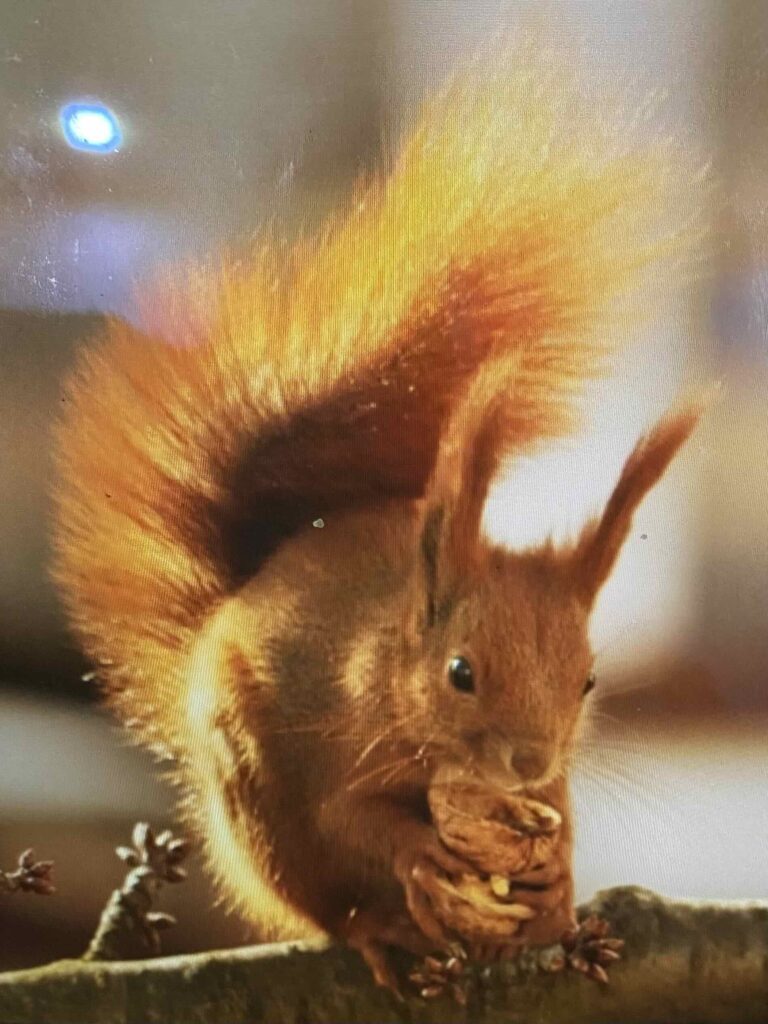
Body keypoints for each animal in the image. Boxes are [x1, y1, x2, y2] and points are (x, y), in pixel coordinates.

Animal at [52, 56, 709, 990]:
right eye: (460, 672)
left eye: (587, 681)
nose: (530, 760)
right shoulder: (345, 739)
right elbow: (355, 821)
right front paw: (421, 856)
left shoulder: (544, 795)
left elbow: (559, 821)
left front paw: (558, 881)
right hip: (253, 801)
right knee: (322, 900)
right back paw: (381, 929)